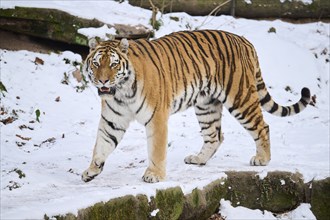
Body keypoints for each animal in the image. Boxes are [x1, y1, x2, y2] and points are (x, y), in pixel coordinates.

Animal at [80, 29, 312, 184]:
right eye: (96, 63)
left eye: (113, 64)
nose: (102, 81)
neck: (121, 92)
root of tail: (245, 40)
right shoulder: (113, 119)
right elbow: (101, 144)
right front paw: (92, 170)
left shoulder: (157, 118)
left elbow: (156, 150)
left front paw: (154, 175)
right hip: (206, 105)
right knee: (215, 136)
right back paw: (198, 159)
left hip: (240, 98)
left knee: (262, 127)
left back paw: (262, 159)